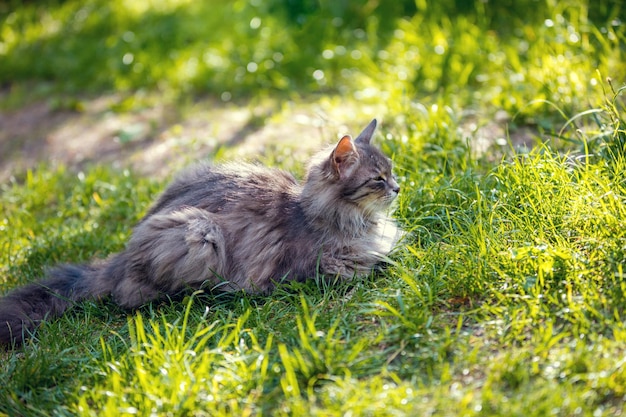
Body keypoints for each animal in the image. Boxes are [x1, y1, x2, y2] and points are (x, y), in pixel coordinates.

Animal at [0, 118, 400, 346]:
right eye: (378, 180)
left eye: (392, 171)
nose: (399, 188)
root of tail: (120, 258)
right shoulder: (325, 267)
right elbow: (374, 263)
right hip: (198, 231)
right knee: (132, 297)